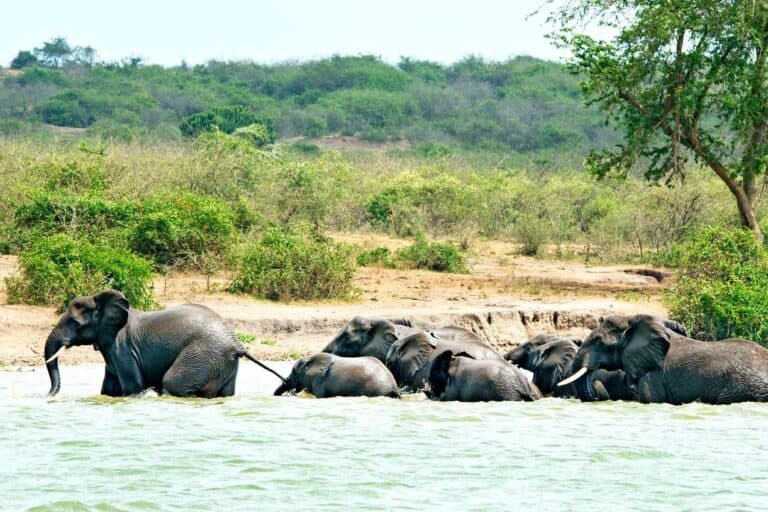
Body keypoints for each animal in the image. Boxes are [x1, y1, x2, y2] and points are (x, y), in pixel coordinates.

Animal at [43, 290, 286, 397]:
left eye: (74, 323)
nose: (48, 396)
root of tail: (236, 343)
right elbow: (108, 390)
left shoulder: (122, 348)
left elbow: (133, 387)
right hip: (222, 362)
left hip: (203, 354)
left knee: (173, 383)